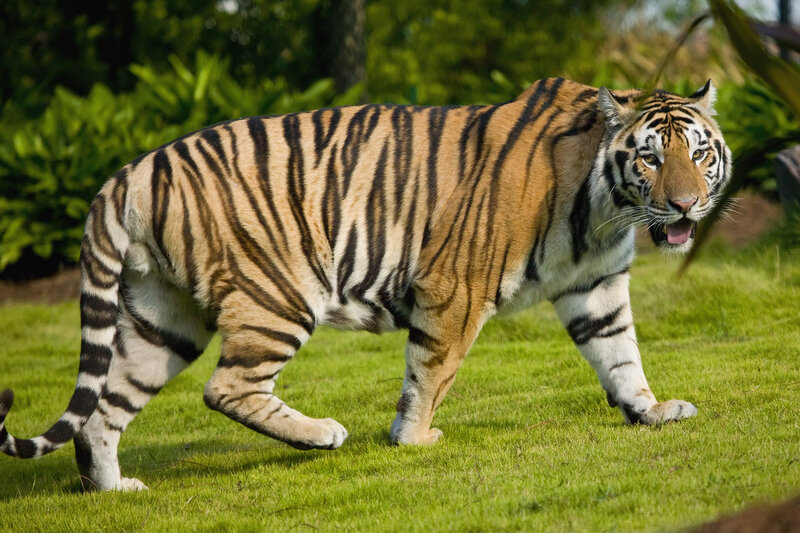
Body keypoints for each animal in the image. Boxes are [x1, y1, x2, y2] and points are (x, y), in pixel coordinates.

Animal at [0, 77, 730, 491]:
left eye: (699, 153)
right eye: (650, 158)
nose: (688, 206)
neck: (605, 210)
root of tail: (129, 171)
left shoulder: (597, 286)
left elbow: (621, 354)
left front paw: (650, 410)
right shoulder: (455, 286)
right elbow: (431, 371)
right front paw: (414, 438)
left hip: (162, 317)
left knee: (104, 409)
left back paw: (114, 487)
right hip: (279, 294)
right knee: (225, 386)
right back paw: (321, 433)